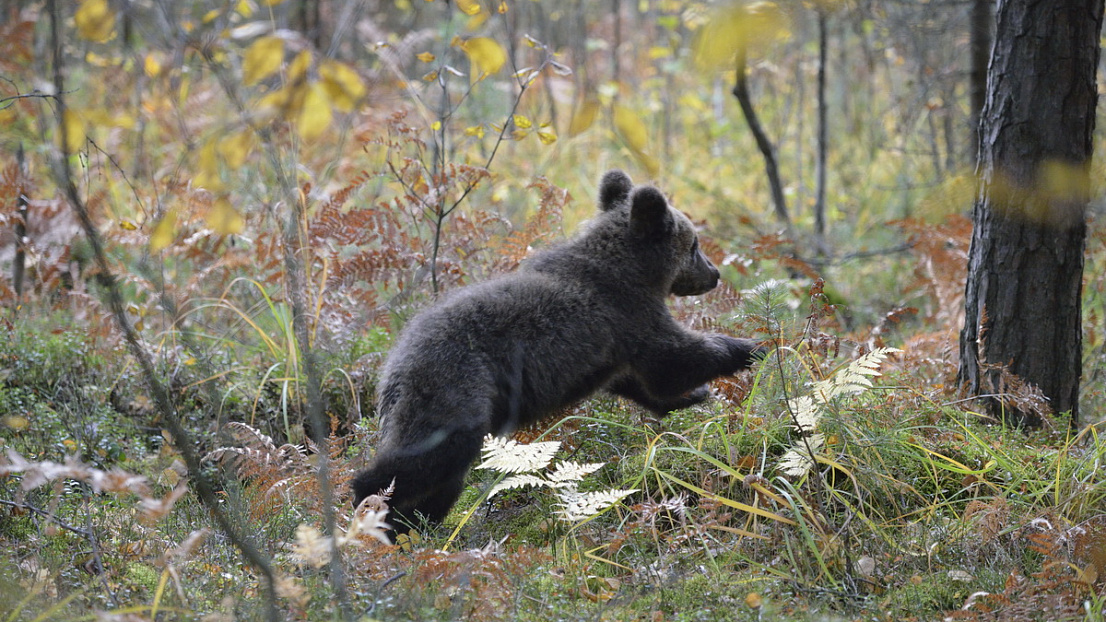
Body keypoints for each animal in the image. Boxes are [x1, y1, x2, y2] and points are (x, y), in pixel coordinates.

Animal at [351, 170, 760, 533]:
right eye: (694, 245)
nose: (714, 274)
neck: (635, 271)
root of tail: (393, 367)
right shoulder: (630, 316)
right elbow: (672, 362)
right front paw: (747, 347)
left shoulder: (611, 347)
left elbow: (641, 383)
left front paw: (692, 395)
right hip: (453, 387)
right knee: (425, 458)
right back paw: (371, 509)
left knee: (441, 479)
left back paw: (415, 525)